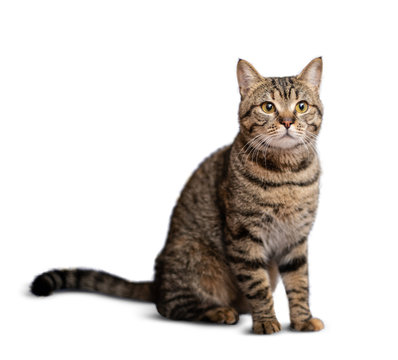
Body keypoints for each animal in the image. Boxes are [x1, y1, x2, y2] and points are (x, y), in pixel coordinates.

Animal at [30, 57, 324, 334]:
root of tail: (157, 282)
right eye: (268, 107)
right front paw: (265, 321)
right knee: (170, 306)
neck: (287, 173)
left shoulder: (296, 239)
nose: (287, 121)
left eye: (301, 106)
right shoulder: (243, 236)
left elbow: (300, 284)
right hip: (192, 253)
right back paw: (219, 311)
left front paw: (302, 320)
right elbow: (257, 285)